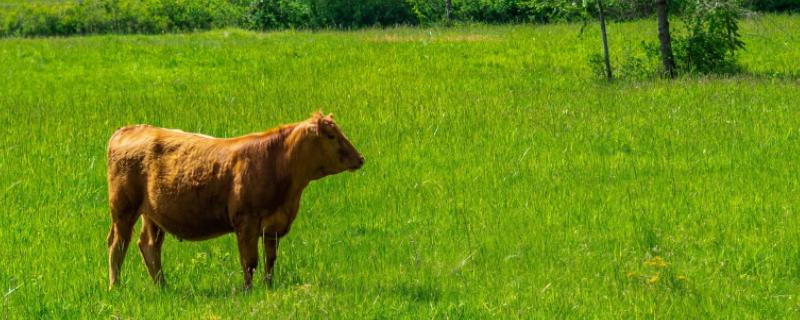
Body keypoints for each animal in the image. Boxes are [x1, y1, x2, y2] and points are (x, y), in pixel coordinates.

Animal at [104, 112, 364, 290]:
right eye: (331, 136)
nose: (360, 158)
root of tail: (128, 129)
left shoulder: (274, 226)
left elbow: (270, 260)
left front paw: (268, 288)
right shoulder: (246, 222)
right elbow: (249, 261)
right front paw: (247, 291)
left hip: (153, 215)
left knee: (149, 246)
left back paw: (162, 287)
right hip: (123, 210)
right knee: (118, 245)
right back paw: (116, 286)